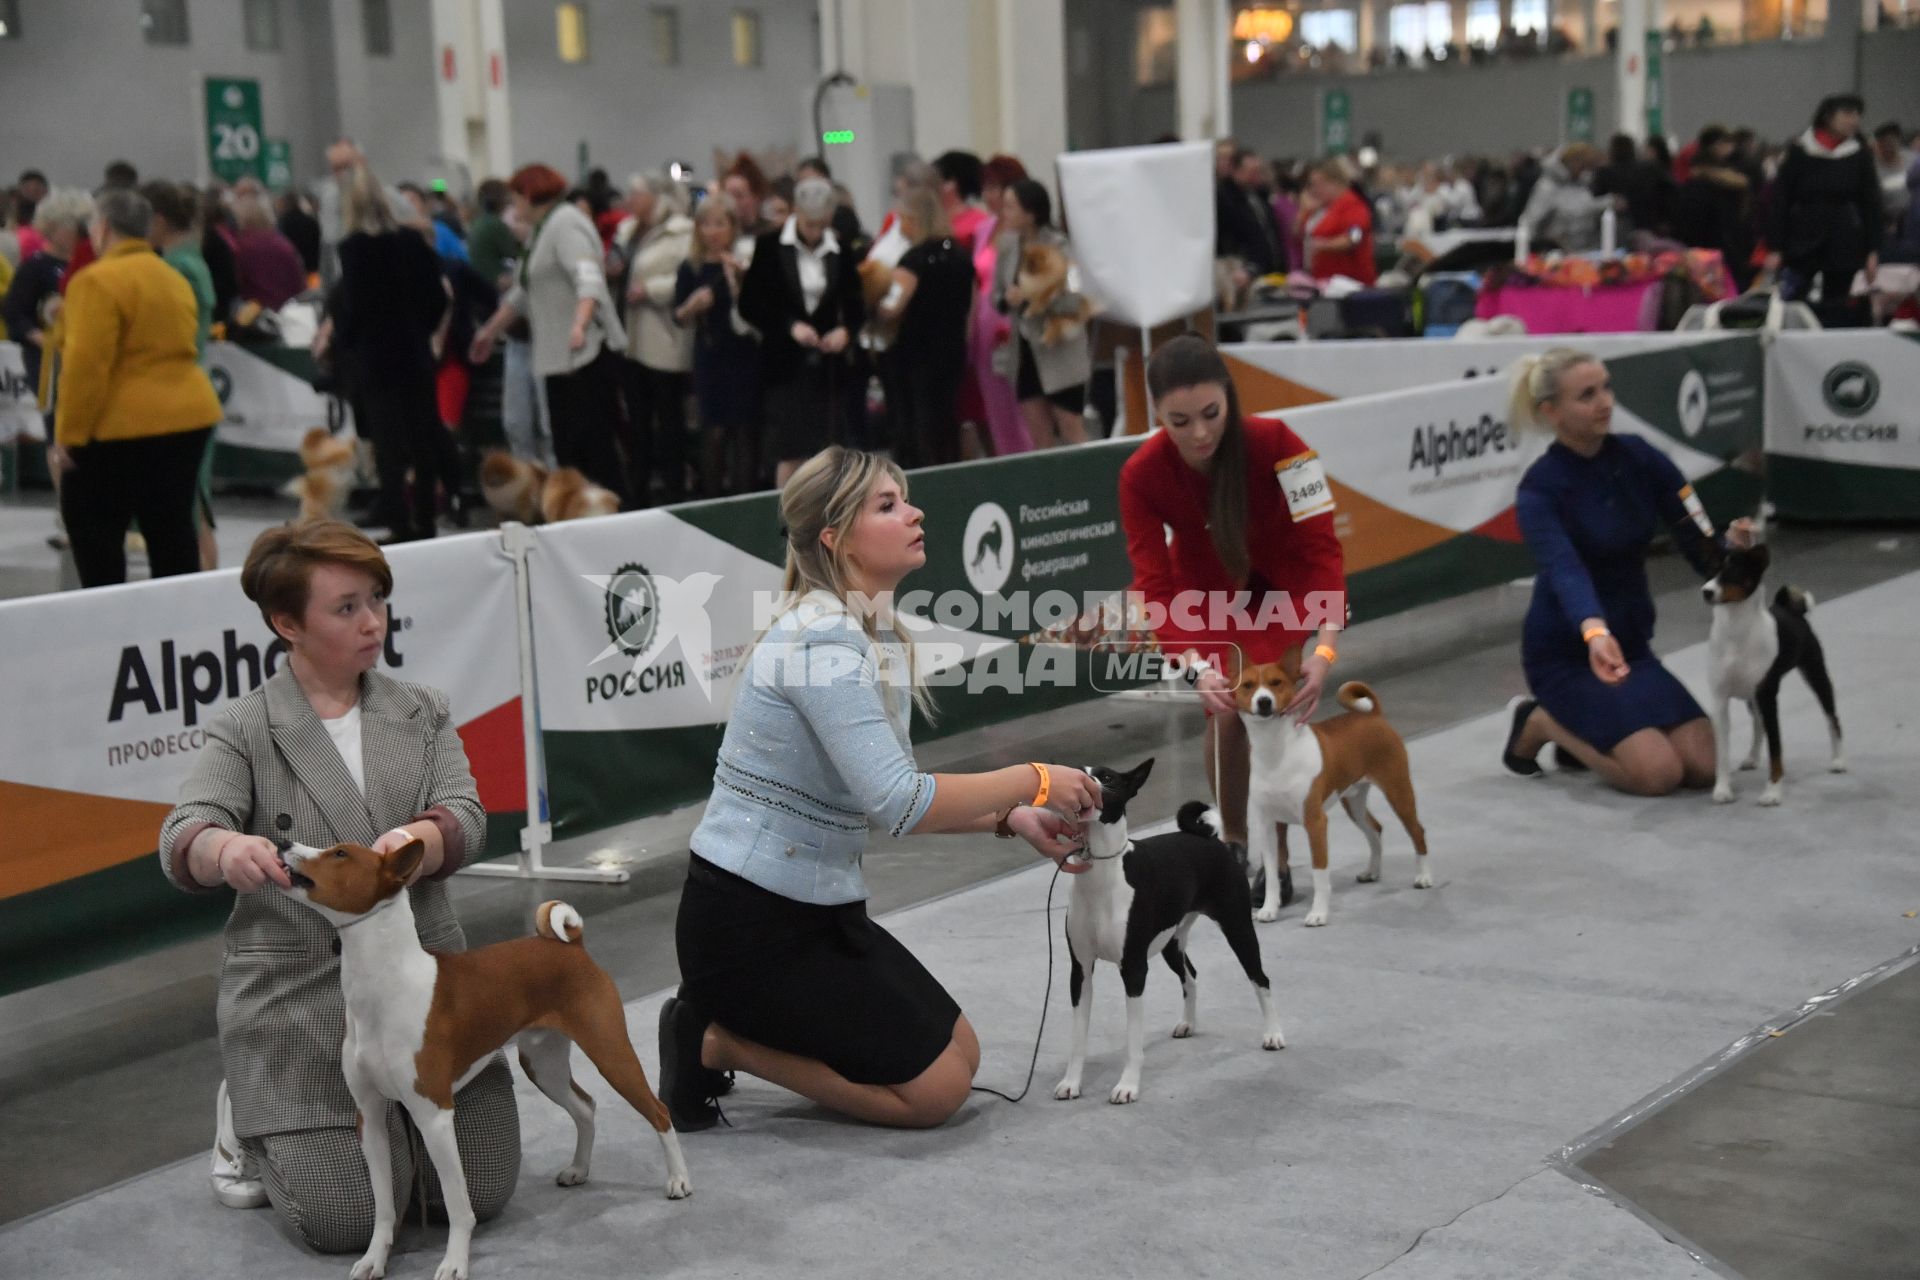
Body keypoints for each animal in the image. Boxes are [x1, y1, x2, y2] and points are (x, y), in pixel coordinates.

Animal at [270, 840, 691, 1280]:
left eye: (340, 854)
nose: (281, 843)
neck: (383, 991)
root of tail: (571, 946)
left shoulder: (434, 1115)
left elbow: (458, 1206)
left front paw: (454, 1263)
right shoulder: (369, 1115)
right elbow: (384, 1207)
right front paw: (373, 1259)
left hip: (610, 1052)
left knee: (659, 1112)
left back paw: (678, 1180)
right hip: (544, 1065)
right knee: (586, 1106)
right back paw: (579, 1169)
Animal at [1052, 759, 1290, 1113]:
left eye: (1106, 777)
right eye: (1075, 769)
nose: (1082, 779)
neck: (1102, 873)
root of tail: (1209, 839)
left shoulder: (1134, 970)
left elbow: (1133, 1040)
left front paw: (1127, 1086)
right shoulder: (1080, 971)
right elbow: (1077, 1038)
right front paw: (1071, 1083)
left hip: (1238, 929)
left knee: (1260, 979)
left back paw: (1273, 1034)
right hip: (1170, 943)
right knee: (1190, 976)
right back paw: (1187, 1023)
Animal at [1236, 667, 1436, 924]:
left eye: (1276, 683)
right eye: (1248, 685)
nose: (1264, 702)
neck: (1276, 752)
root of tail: (1374, 716)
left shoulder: (1315, 823)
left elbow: (1319, 874)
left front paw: (1318, 914)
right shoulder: (1267, 824)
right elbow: (1271, 875)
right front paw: (1269, 909)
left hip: (1398, 790)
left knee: (1417, 832)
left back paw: (1423, 877)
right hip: (1354, 801)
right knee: (1375, 829)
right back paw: (1371, 871)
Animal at [1712, 545, 1843, 805]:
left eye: (1733, 572)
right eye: (1711, 570)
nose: (1707, 591)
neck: (1736, 633)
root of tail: (1789, 608)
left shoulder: (1769, 698)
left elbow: (1776, 751)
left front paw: (1772, 792)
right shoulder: (1720, 700)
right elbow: (1722, 753)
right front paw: (1722, 789)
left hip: (1815, 674)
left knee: (1832, 718)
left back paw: (1838, 761)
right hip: (1753, 699)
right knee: (1757, 724)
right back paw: (1752, 758)